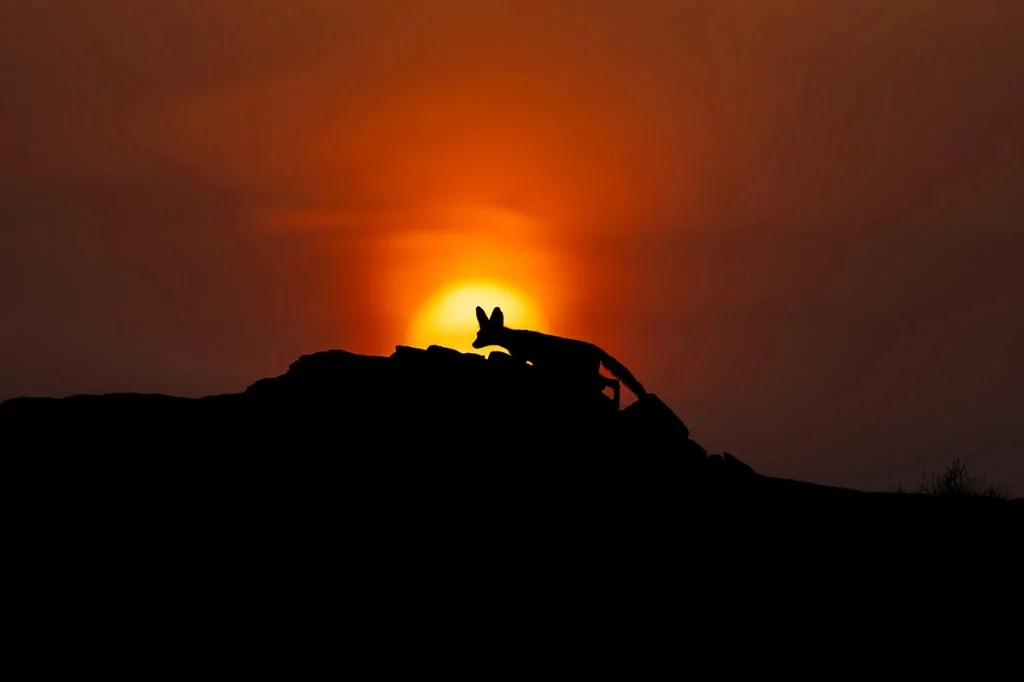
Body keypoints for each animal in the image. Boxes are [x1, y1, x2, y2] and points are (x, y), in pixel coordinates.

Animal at [472, 305, 648, 406]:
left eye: (481, 335)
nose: (473, 344)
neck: (515, 339)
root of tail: (597, 348)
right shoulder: (533, 362)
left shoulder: (521, 357)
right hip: (588, 374)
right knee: (614, 382)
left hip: (587, 374)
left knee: (614, 383)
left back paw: (616, 403)